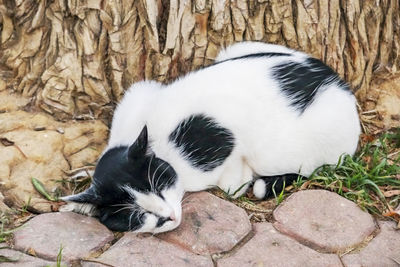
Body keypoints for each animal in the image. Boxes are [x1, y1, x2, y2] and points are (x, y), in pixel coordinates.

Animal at [60, 41, 362, 234]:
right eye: (140, 215)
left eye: (159, 188)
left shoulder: (223, 137)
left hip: (288, 148)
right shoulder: (139, 92)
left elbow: (231, 182)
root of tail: (343, 89)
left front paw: (240, 180)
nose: (169, 216)